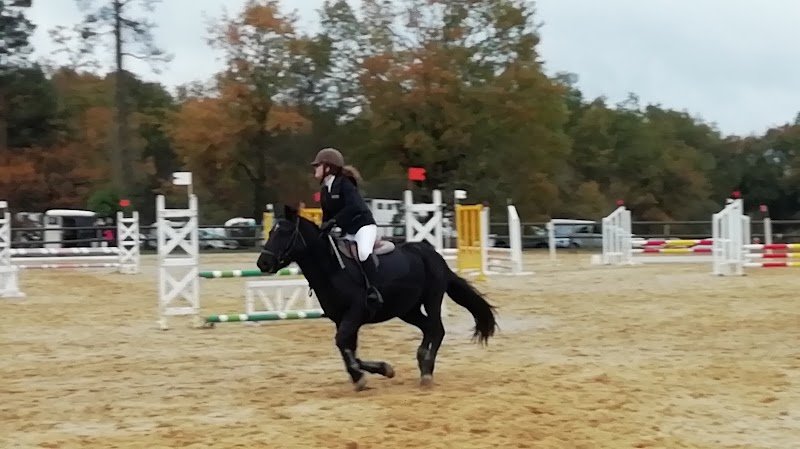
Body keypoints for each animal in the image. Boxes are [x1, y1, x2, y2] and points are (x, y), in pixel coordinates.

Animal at [256, 205, 498, 391]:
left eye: (285, 233)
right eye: (270, 232)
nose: (263, 263)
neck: (332, 268)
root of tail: (433, 254)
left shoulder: (354, 313)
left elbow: (343, 344)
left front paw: (360, 376)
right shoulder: (342, 319)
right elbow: (348, 349)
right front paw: (379, 370)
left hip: (432, 299)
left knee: (437, 329)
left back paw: (427, 370)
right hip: (407, 309)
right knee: (428, 327)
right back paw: (422, 361)